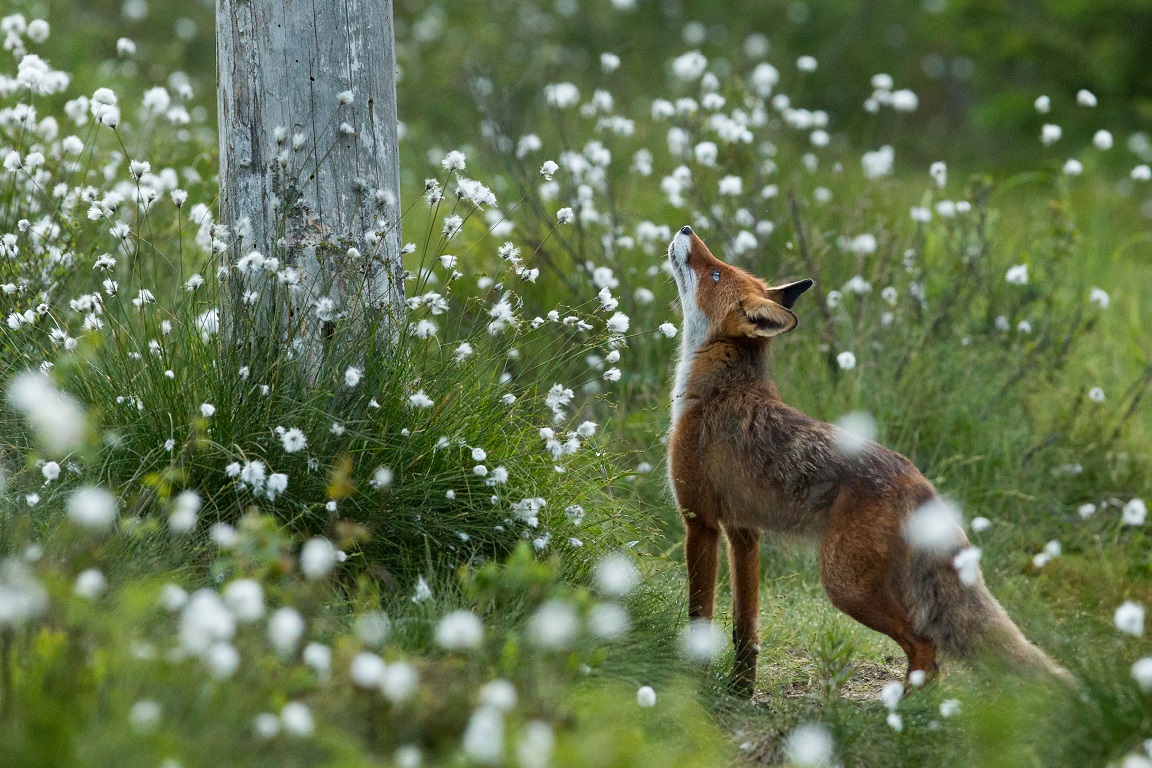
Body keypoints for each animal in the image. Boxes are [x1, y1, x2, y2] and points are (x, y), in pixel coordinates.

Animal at [668, 223, 1069, 695]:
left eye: (714, 273)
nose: (686, 229)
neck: (718, 389)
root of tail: (921, 482)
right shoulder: (743, 532)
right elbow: (744, 628)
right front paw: (740, 690)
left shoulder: (700, 521)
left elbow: (700, 616)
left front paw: (691, 681)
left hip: (844, 585)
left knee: (926, 645)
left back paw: (902, 709)